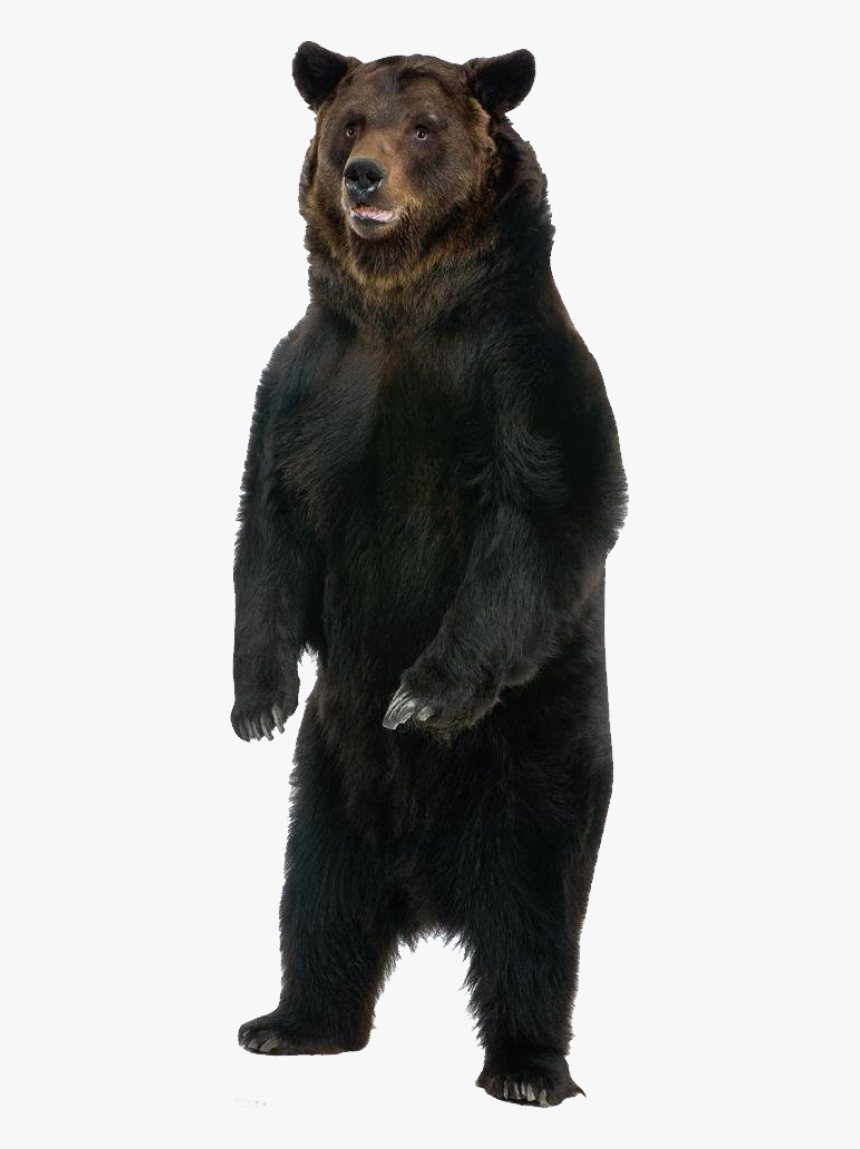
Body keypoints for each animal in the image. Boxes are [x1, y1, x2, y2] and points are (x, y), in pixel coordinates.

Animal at [231, 41, 627, 1108]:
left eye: (424, 128)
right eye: (349, 123)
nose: (364, 176)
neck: (404, 307)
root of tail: (428, 890)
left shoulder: (520, 377)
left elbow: (539, 519)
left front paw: (421, 695)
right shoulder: (311, 381)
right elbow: (269, 526)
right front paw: (257, 699)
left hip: (538, 764)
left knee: (534, 923)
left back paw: (528, 1068)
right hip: (329, 786)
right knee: (318, 900)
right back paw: (291, 1022)